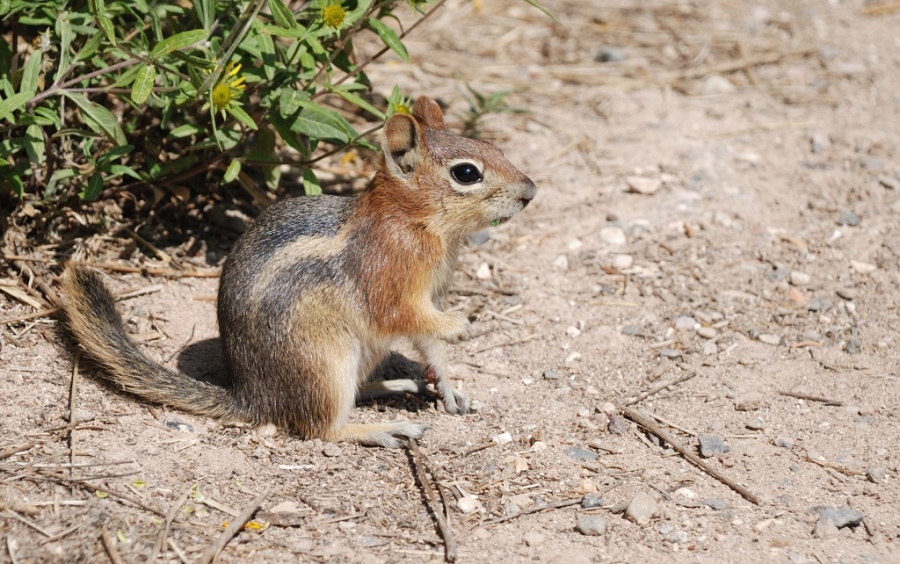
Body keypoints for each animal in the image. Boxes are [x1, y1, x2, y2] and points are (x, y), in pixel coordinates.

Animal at [60, 96, 536, 448]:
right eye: (467, 173)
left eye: (493, 147)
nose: (530, 191)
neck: (411, 222)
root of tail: (253, 399)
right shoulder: (391, 279)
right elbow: (403, 316)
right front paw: (461, 326)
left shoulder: (431, 293)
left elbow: (428, 341)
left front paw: (448, 383)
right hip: (327, 363)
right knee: (320, 428)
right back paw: (385, 427)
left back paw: (396, 384)